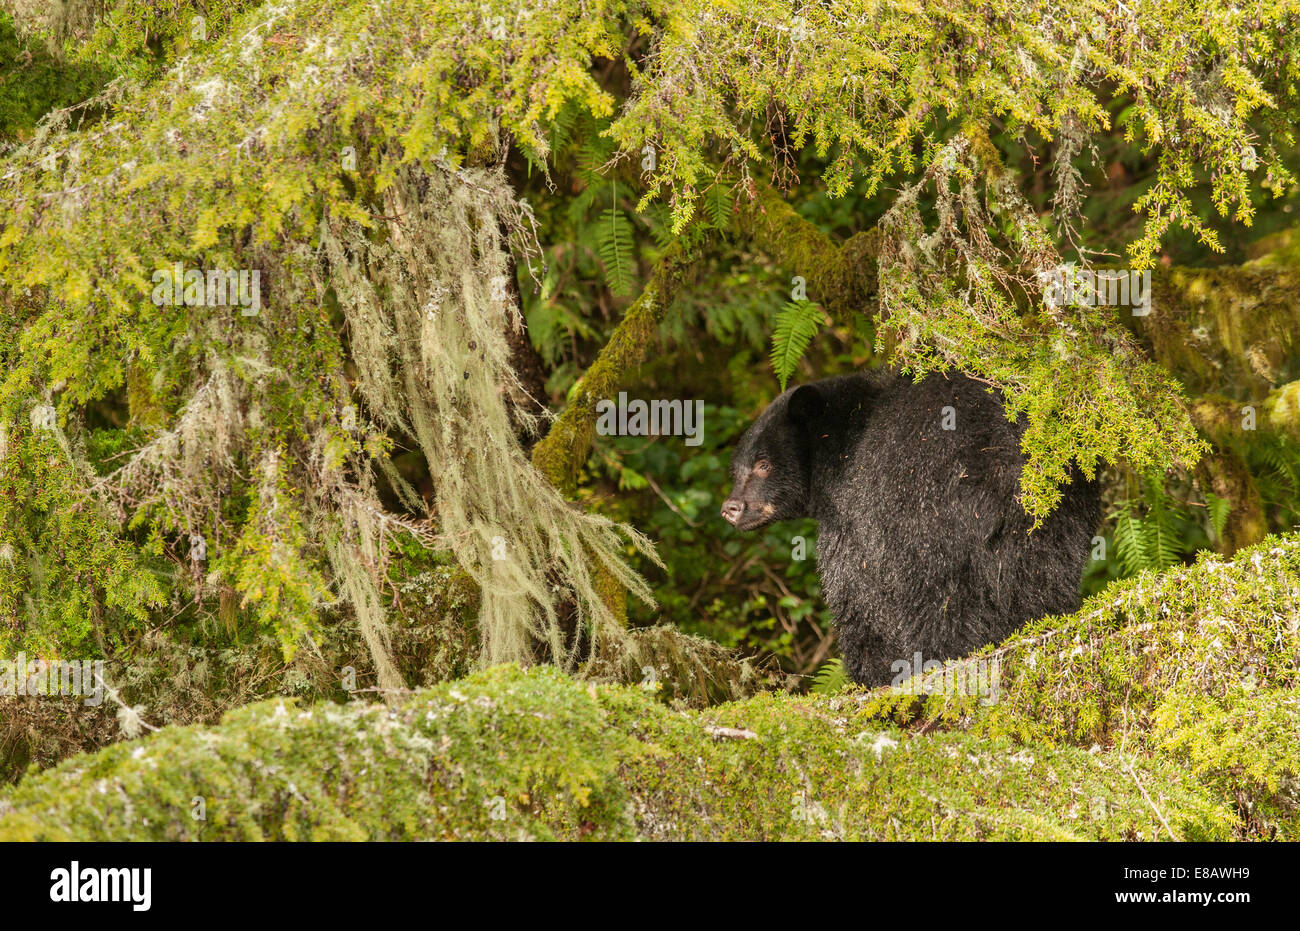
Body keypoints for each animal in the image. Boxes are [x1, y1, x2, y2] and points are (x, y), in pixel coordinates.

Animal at [722, 369, 1097, 681]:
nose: (731, 508)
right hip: (1055, 513)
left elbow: (857, 594)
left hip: (930, 515)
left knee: (938, 597)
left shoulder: (855, 512)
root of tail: (1005, 451)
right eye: (738, 469)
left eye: (764, 464)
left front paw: (872, 675)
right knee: (1042, 576)